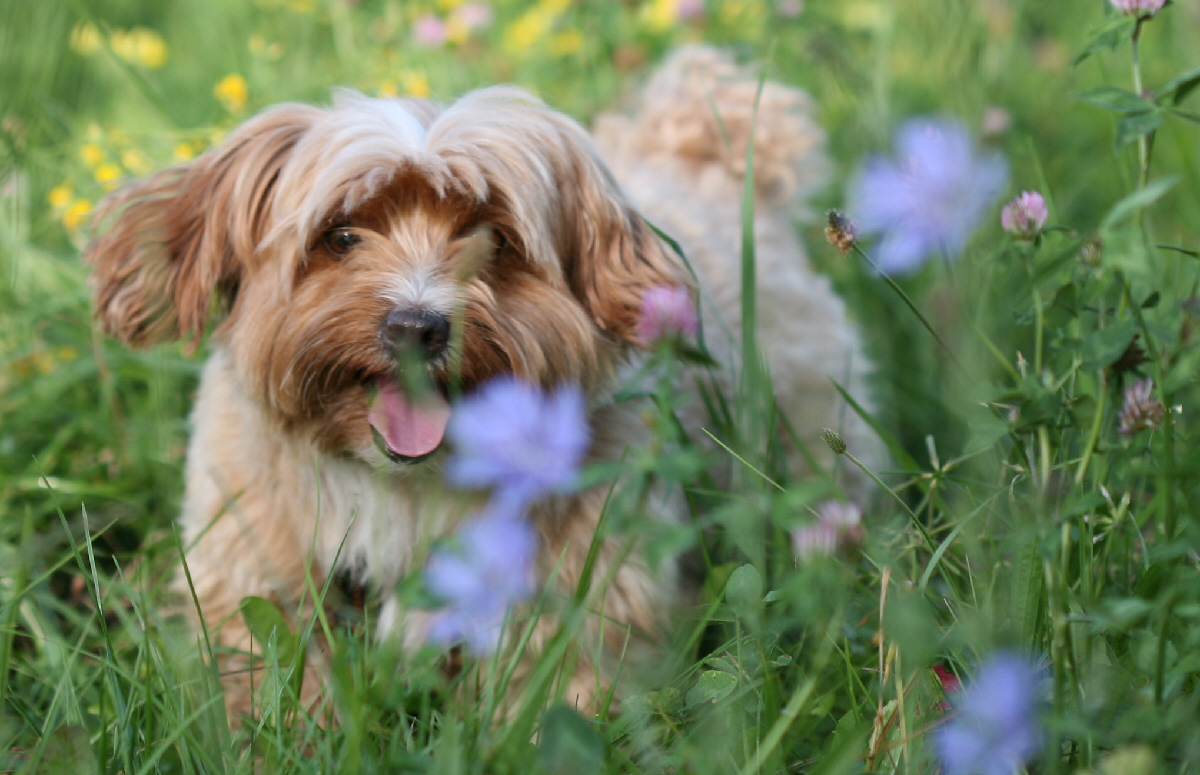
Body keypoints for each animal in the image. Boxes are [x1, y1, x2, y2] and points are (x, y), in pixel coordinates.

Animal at [82, 47, 873, 724]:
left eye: (493, 238)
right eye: (341, 236)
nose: (416, 325)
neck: (405, 485)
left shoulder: (583, 583)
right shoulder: (254, 570)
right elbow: (272, 679)